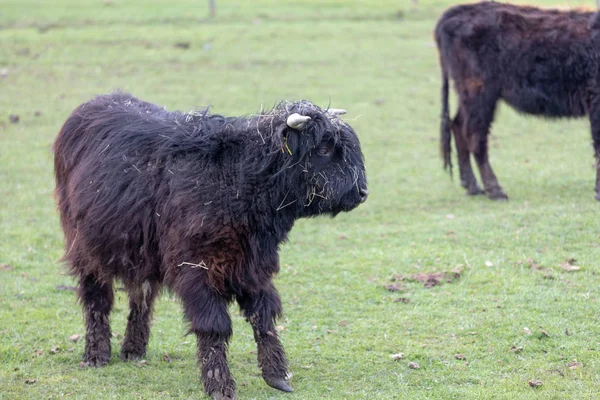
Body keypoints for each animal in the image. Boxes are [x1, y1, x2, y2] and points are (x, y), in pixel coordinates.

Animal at [54, 91, 368, 400]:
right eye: (324, 150)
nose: (362, 191)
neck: (237, 180)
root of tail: (96, 102)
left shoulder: (252, 265)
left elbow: (264, 316)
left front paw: (277, 374)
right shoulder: (197, 268)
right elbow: (214, 326)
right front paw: (219, 384)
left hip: (142, 251)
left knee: (142, 294)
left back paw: (134, 349)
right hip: (85, 247)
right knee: (97, 298)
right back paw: (96, 354)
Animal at [436, 1, 600, 202]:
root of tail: (457, 12)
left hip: (468, 96)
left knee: (458, 126)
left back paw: (472, 186)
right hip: (480, 94)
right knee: (475, 136)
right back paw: (495, 190)